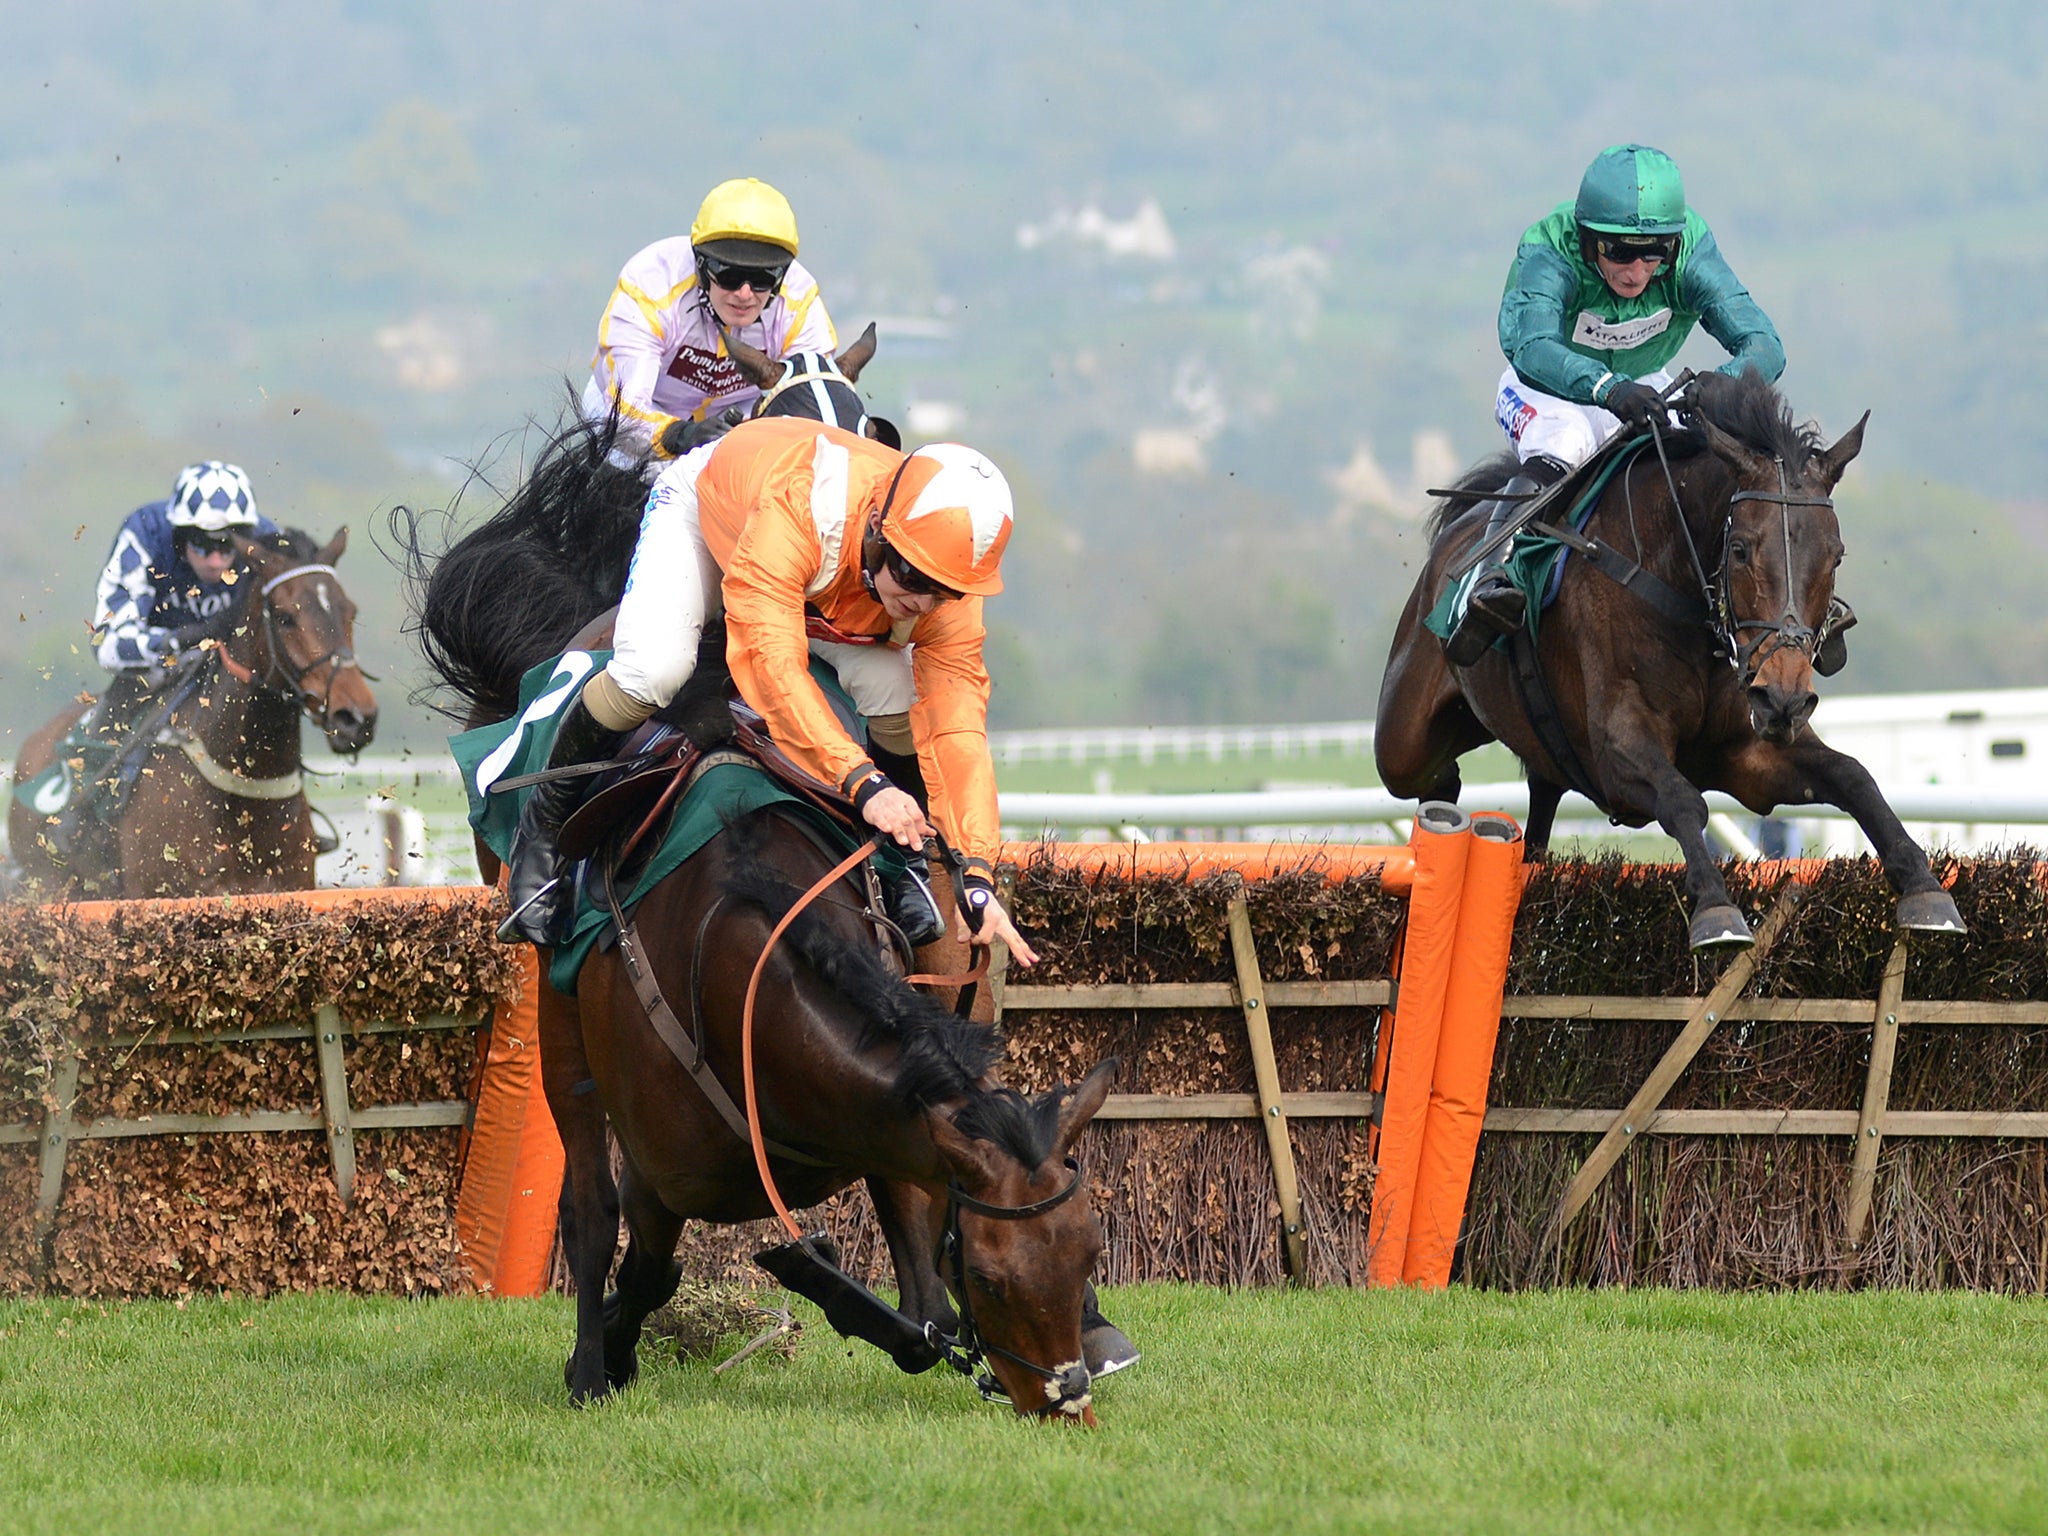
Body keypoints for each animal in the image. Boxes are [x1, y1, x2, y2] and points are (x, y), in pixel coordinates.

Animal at [1376, 372, 1966, 950]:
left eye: (1835, 555)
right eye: (1741, 549)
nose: (1784, 697)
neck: (1672, 581)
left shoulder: (1746, 752)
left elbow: (1855, 776)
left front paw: (1927, 888)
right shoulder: (1617, 750)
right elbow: (1683, 801)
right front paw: (1716, 909)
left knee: (1538, 796)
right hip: (1403, 741)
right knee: (1431, 775)